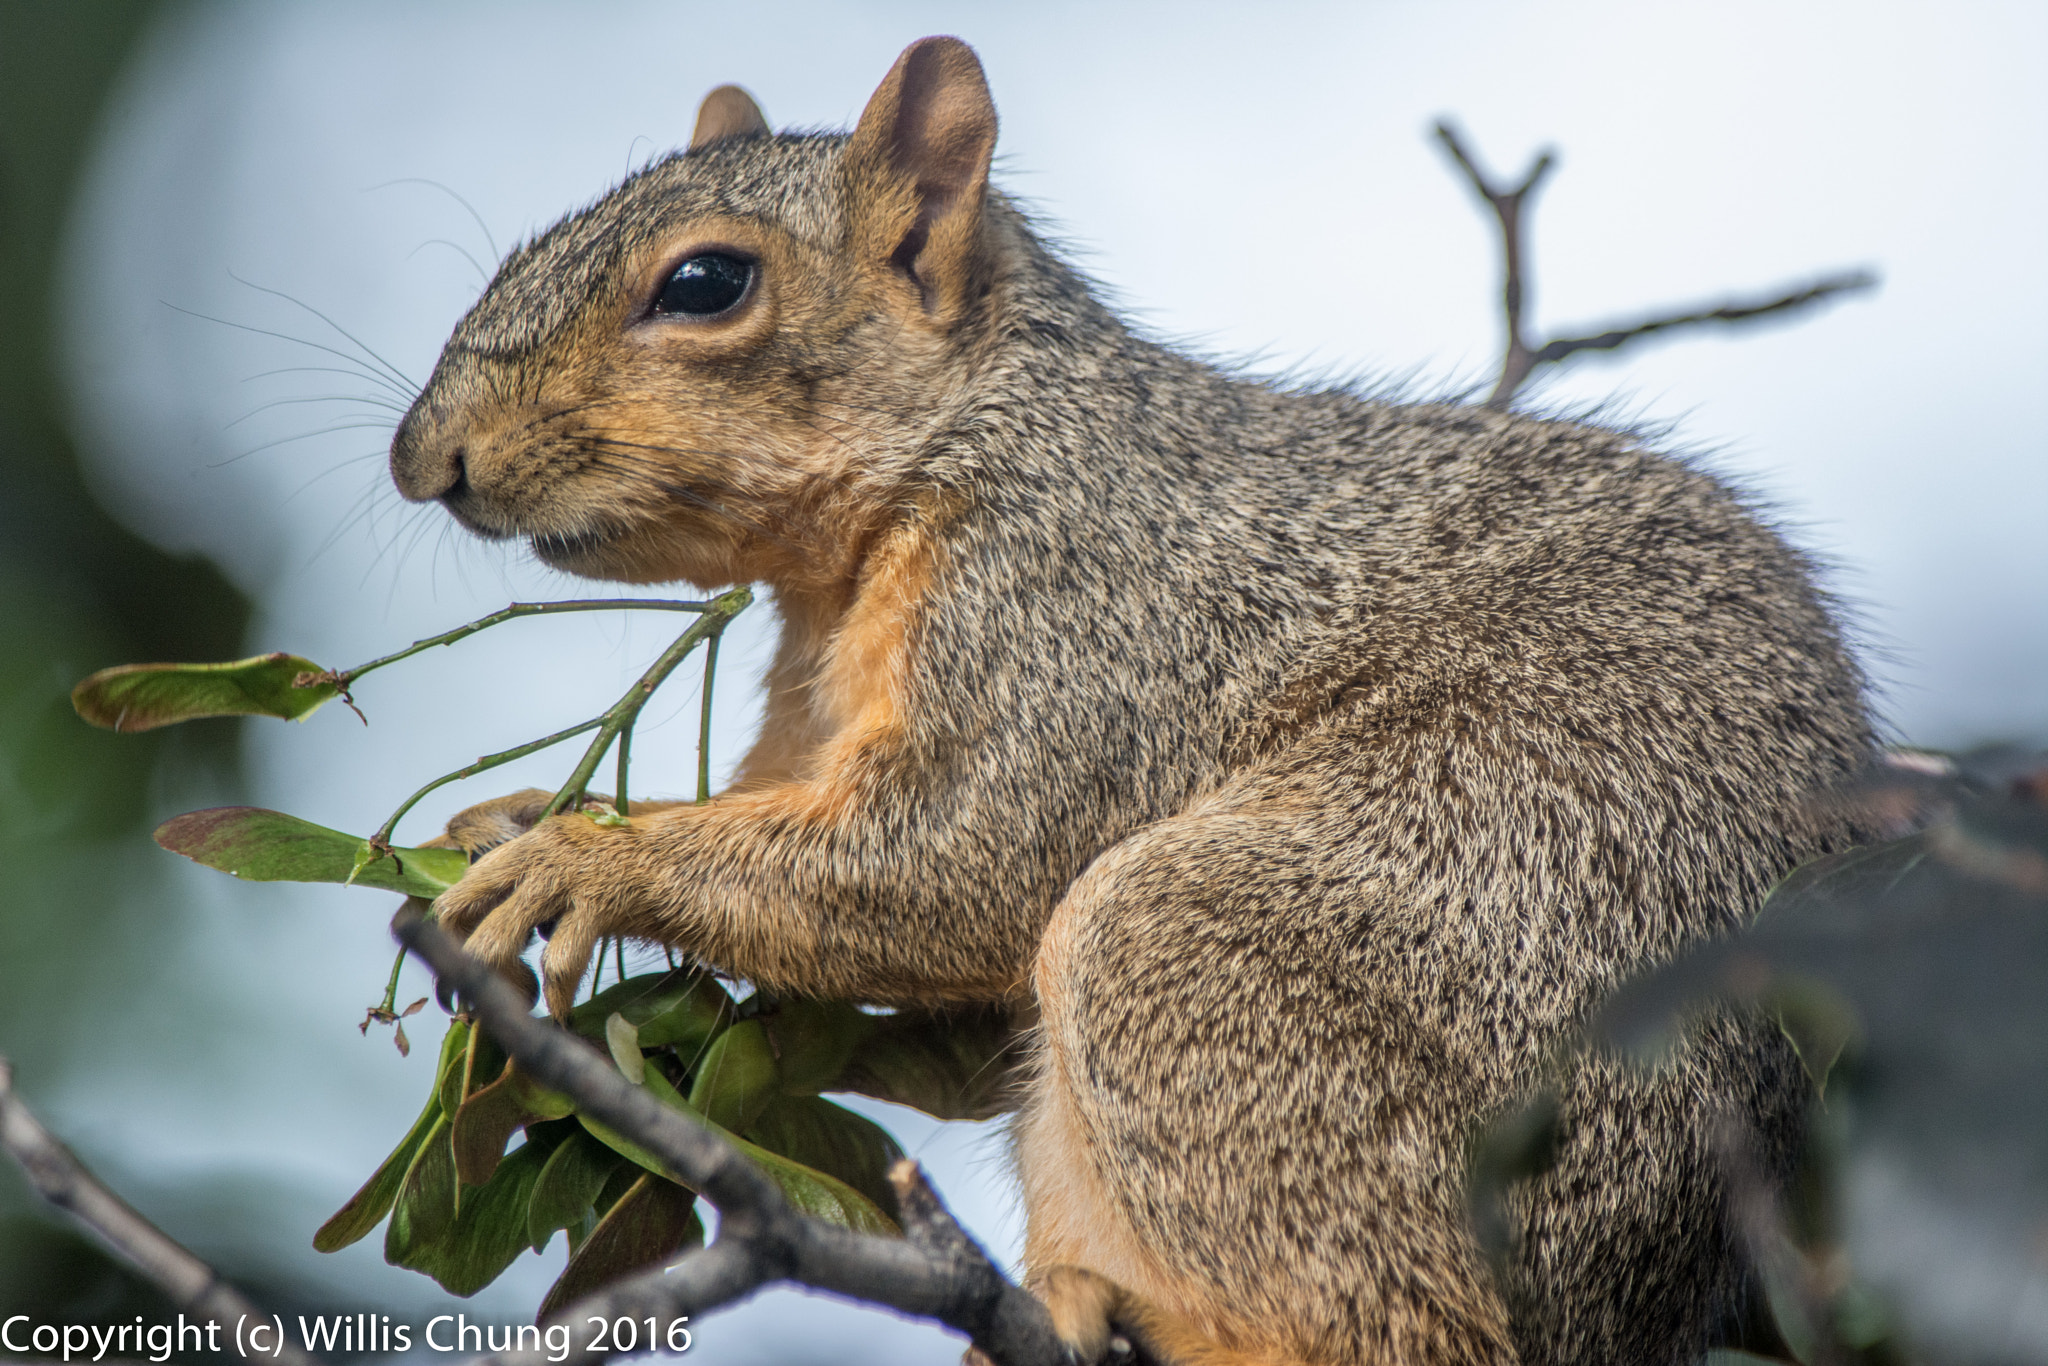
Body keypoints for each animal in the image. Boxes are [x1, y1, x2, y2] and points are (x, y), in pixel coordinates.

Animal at [385, 34, 1875, 1366]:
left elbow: (955, 858)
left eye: (705, 281)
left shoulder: (1083, 614)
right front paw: (533, 807)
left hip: (1251, 959)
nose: (422, 458)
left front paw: (583, 859)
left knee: (1409, 1326)